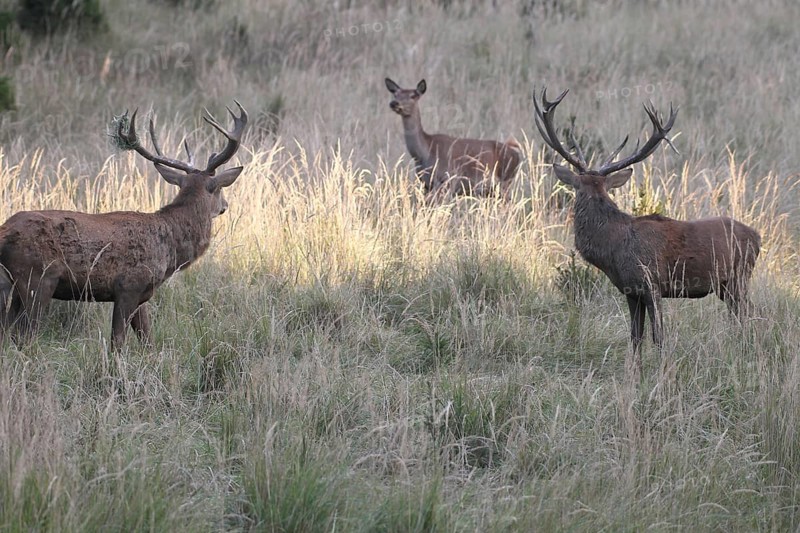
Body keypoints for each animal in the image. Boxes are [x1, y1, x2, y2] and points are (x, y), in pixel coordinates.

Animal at [0, 102, 248, 350]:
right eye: (219, 189)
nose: (225, 206)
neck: (169, 246)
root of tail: (5, 232)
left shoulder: (143, 294)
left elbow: (148, 340)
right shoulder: (128, 286)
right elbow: (117, 342)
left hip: (14, 283)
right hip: (37, 279)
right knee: (24, 334)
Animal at [385, 77, 523, 200]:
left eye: (413, 95)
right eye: (395, 94)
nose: (394, 103)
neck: (424, 153)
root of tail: (516, 154)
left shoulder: (448, 180)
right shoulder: (426, 184)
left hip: (505, 181)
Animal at [533, 88, 761, 358]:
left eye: (577, 190)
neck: (614, 248)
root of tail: (757, 237)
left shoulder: (652, 282)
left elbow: (658, 336)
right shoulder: (631, 291)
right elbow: (635, 338)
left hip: (739, 277)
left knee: (751, 315)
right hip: (726, 286)